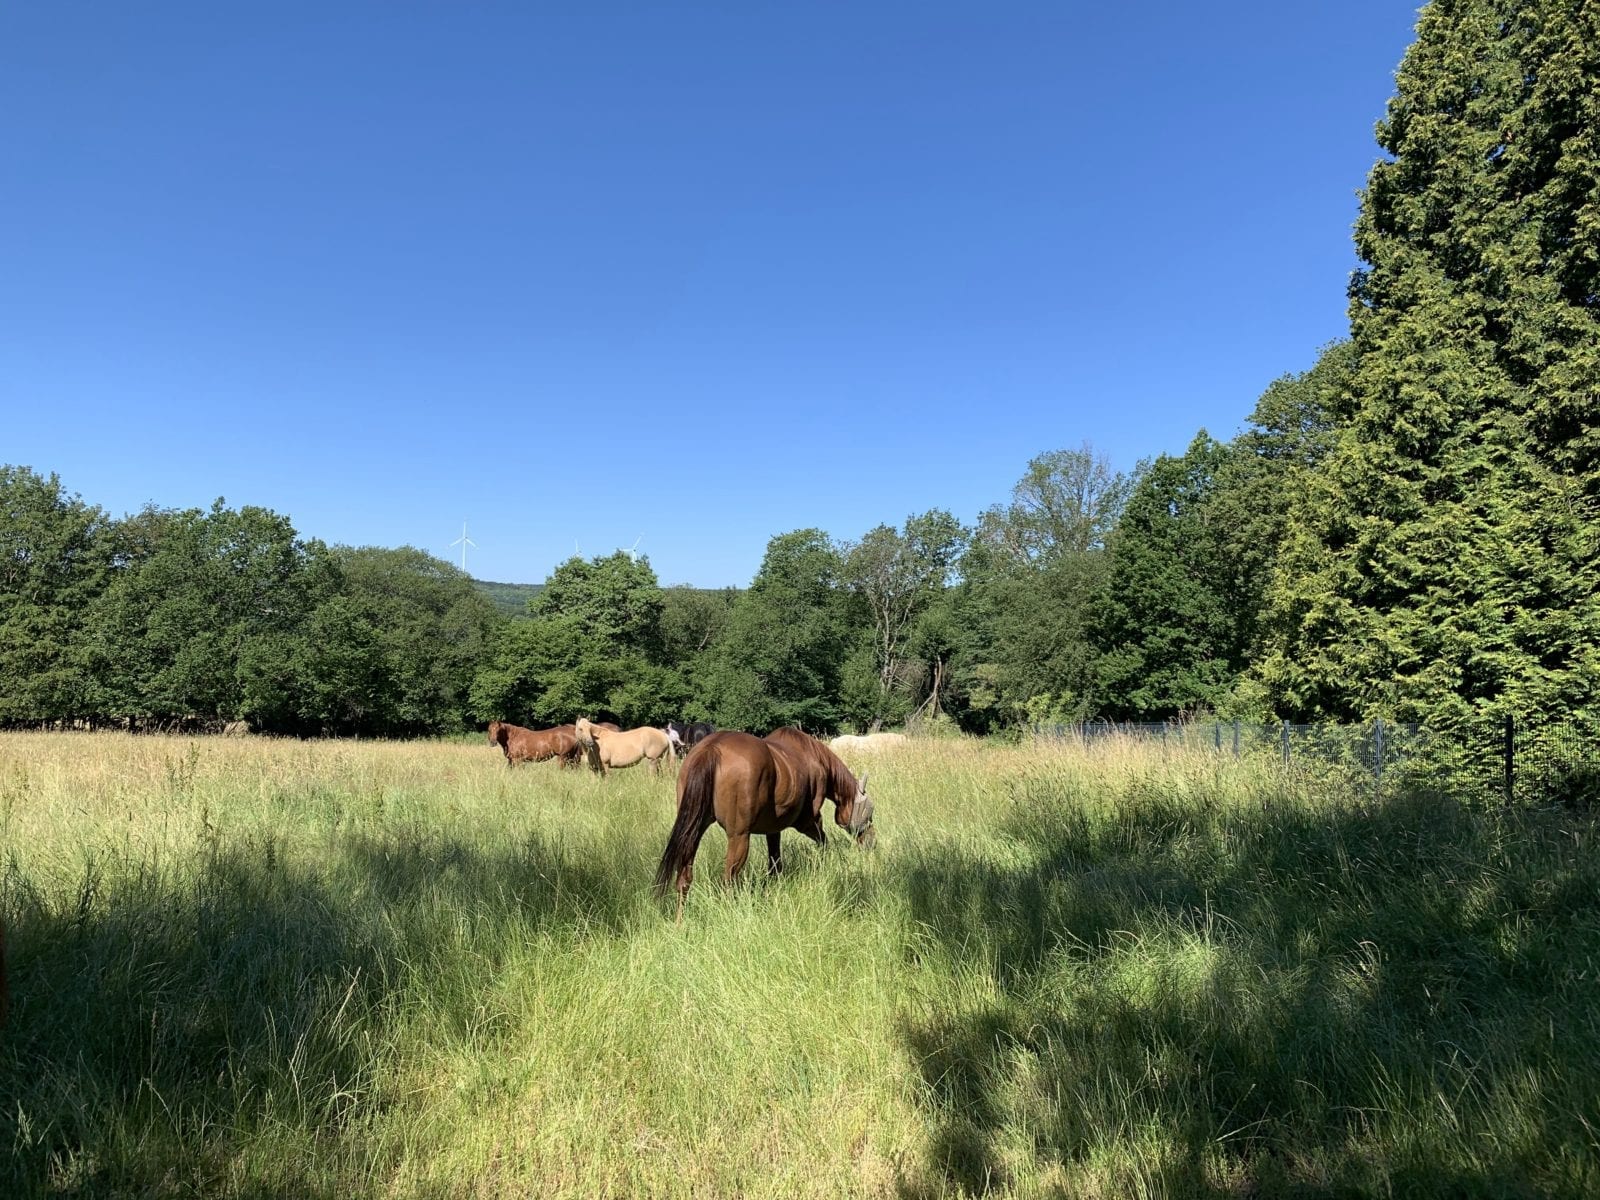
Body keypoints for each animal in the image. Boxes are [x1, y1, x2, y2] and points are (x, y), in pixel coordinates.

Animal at [653, 727, 874, 916]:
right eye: (870, 814)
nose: (871, 842)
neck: (815, 758)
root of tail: (711, 748)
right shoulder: (807, 821)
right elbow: (823, 840)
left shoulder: (773, 830)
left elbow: (775, 864)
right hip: (739, 837)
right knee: (728, 880)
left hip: (693, 831)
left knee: (684, 878)